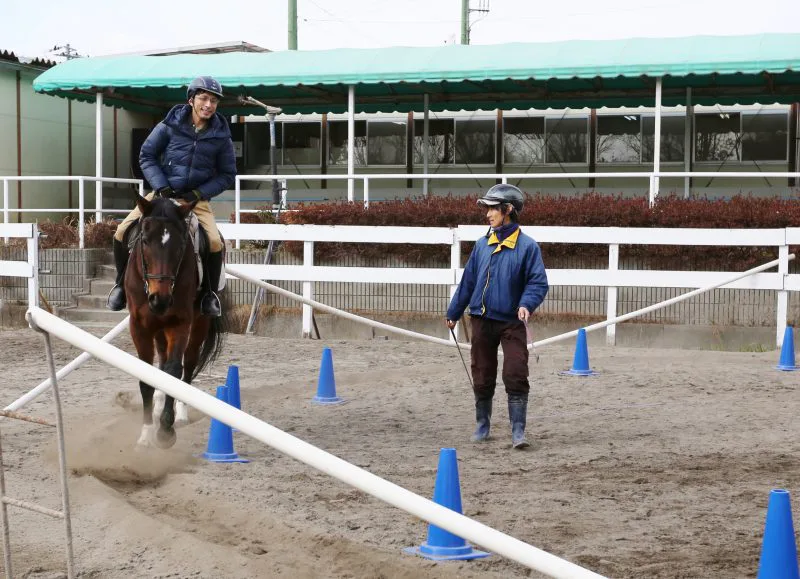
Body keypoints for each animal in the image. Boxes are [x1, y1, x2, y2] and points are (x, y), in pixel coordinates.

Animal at [124, 194, 225, 448]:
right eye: (145, 241)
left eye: (180, 245)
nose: (160, 299)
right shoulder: (139, 326)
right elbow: (147, 376)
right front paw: (146, 434)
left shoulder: (179, 324)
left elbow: (173, 371)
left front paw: (165, 430)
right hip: (159, 329)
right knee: (161, 359)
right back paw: (159, 403)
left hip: (198, 326)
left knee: (187, 365)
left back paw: (181, 414)